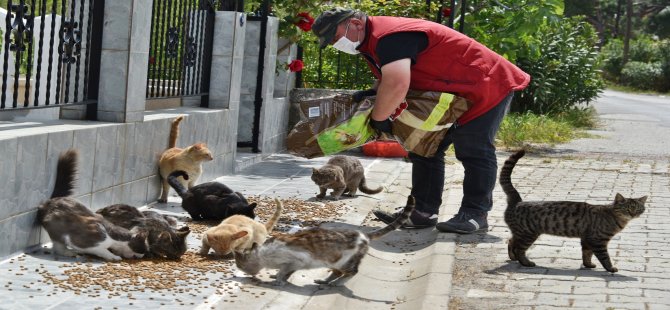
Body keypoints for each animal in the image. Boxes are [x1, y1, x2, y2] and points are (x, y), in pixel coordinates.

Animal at [234, 195, 418, 286]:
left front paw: (278, 280)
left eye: (240, 265)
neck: (263, 253)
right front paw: (280, 278)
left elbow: (284, 271)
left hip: (344, 261)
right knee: (336, 272)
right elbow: (288, 272)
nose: (245, 273)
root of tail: (364, 235)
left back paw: (338, 283)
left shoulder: (296, 259)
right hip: (334, 262)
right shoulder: (296, 264)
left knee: (351, 272)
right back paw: (324, 280)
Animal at [502, 149, 648, 272]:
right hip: (528, 234)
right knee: (519, 249)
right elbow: (604, 257)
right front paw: (610, 268)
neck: (615, 218)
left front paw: (588, 265)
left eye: (638, 208)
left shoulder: (587, 239)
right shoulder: (598, 240)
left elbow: (586, 254)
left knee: (511, 241)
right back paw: (526, 262)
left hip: (521, 232)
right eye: (627, 208)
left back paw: (513, 257)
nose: (633, 214)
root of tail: (517, 201)